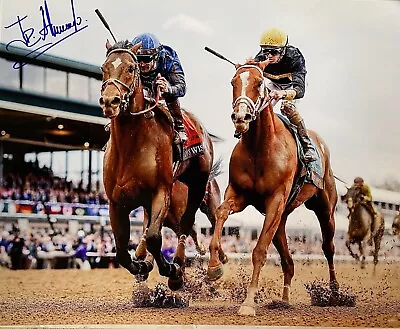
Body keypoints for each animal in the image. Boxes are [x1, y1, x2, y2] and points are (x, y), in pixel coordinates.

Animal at [100, 39, 216, 288]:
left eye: (130, 68)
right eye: (103, 68)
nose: (110, 101)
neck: (130, 146)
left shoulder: (162, 190)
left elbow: (154, 236)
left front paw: (171, 270)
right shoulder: (116, 202)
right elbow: (121, 249)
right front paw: (140, 265)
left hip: (198, 184)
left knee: (186, 225)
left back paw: (180, 266)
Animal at [208, 59, 340, 316]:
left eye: (260, 82)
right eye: (233, 81)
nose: (241, 116)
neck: (260, 147)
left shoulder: (275, 201)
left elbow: (259, 251)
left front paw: (248, 302)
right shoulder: (239, 195)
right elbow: (220, 213)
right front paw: (214, 267)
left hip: (324, 208)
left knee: (328, 247)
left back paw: (334, 293)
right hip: (281, 220)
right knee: (288, 262)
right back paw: (284, 299)